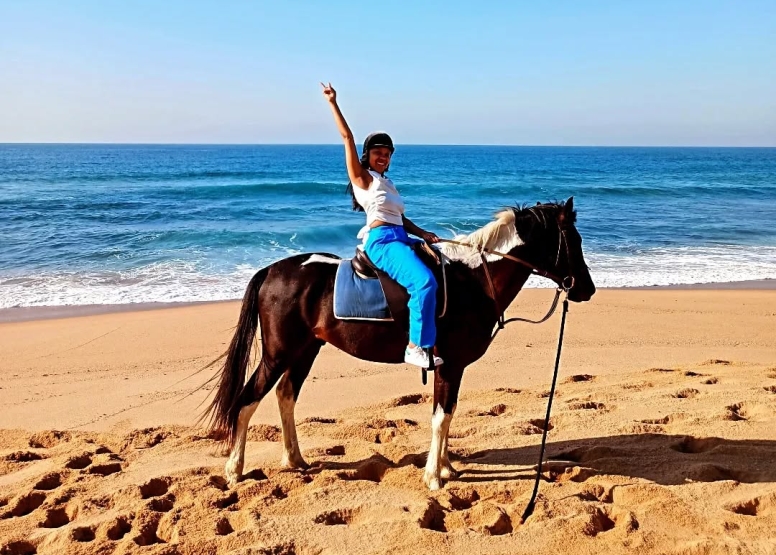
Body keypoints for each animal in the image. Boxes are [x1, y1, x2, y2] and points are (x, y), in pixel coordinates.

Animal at [203, 197, 596, 490]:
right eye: (573, 242)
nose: (587, 289)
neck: (472, 280)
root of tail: (272, 270)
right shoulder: (451, 365)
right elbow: (441, 417)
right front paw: (434, 477)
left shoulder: (449, 367)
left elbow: (447, 414)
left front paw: (446, 467)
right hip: (279, 353)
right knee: (247, 400)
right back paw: (234, 469)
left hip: (305, 350)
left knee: (286, 396)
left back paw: (294, 459)